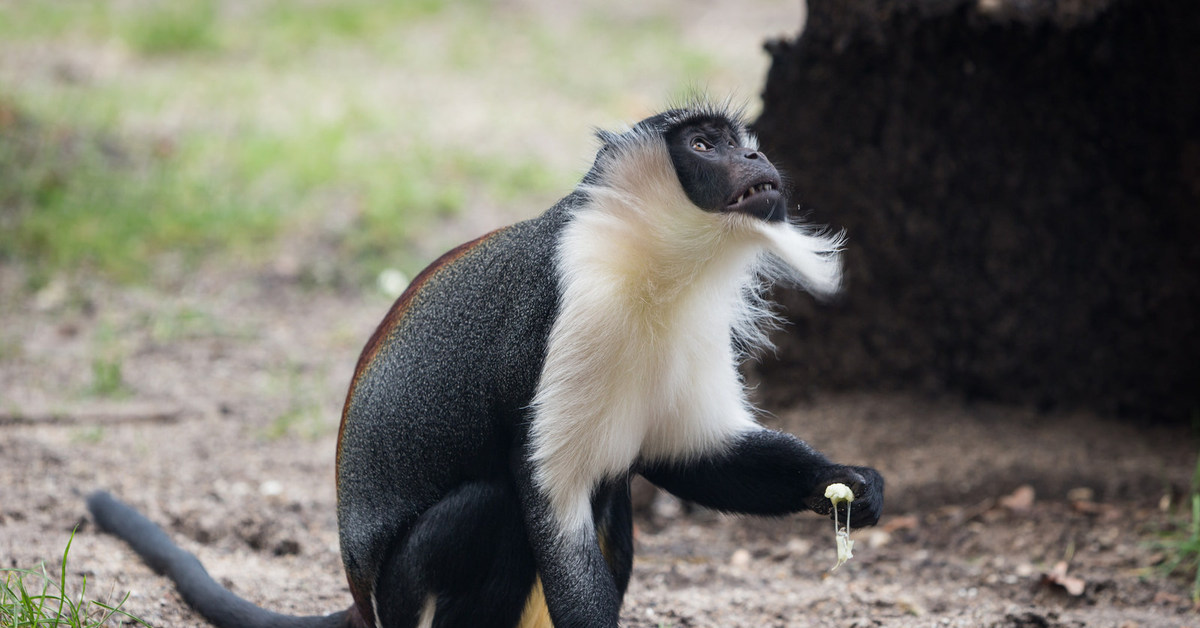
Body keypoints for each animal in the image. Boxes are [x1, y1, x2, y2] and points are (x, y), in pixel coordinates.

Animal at [88, 102, 883, 628]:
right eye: (705, 142)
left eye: (745, 142)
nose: (757, 160)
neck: (656, 265)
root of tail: (360, 603)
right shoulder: (566, 312)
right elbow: (547, 499)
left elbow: (688, 456)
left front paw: (844, 482)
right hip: (408, 594)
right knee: (496, 504)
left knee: (613, 493)